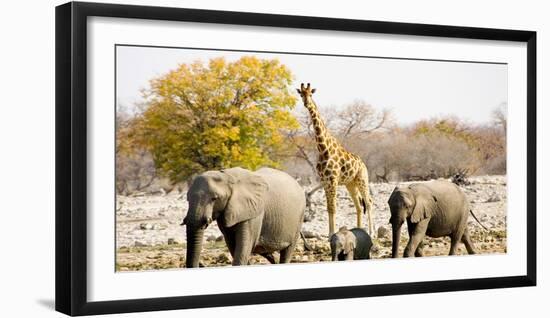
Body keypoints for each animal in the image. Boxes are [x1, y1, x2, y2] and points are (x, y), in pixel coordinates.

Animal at [298, 82, 376, 236]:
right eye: (301, 94)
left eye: (311, 94)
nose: (306, 103)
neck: (323, 149)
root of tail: (363, 164)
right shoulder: (325, 181)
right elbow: (329, 207)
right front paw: (330, 233)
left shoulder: (333, 180)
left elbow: (333, 207)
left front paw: (332, 233)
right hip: (350, 184)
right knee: (358, 205)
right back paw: (359, 229)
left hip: (362, 179)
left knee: (368, 202)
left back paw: (371, 232)